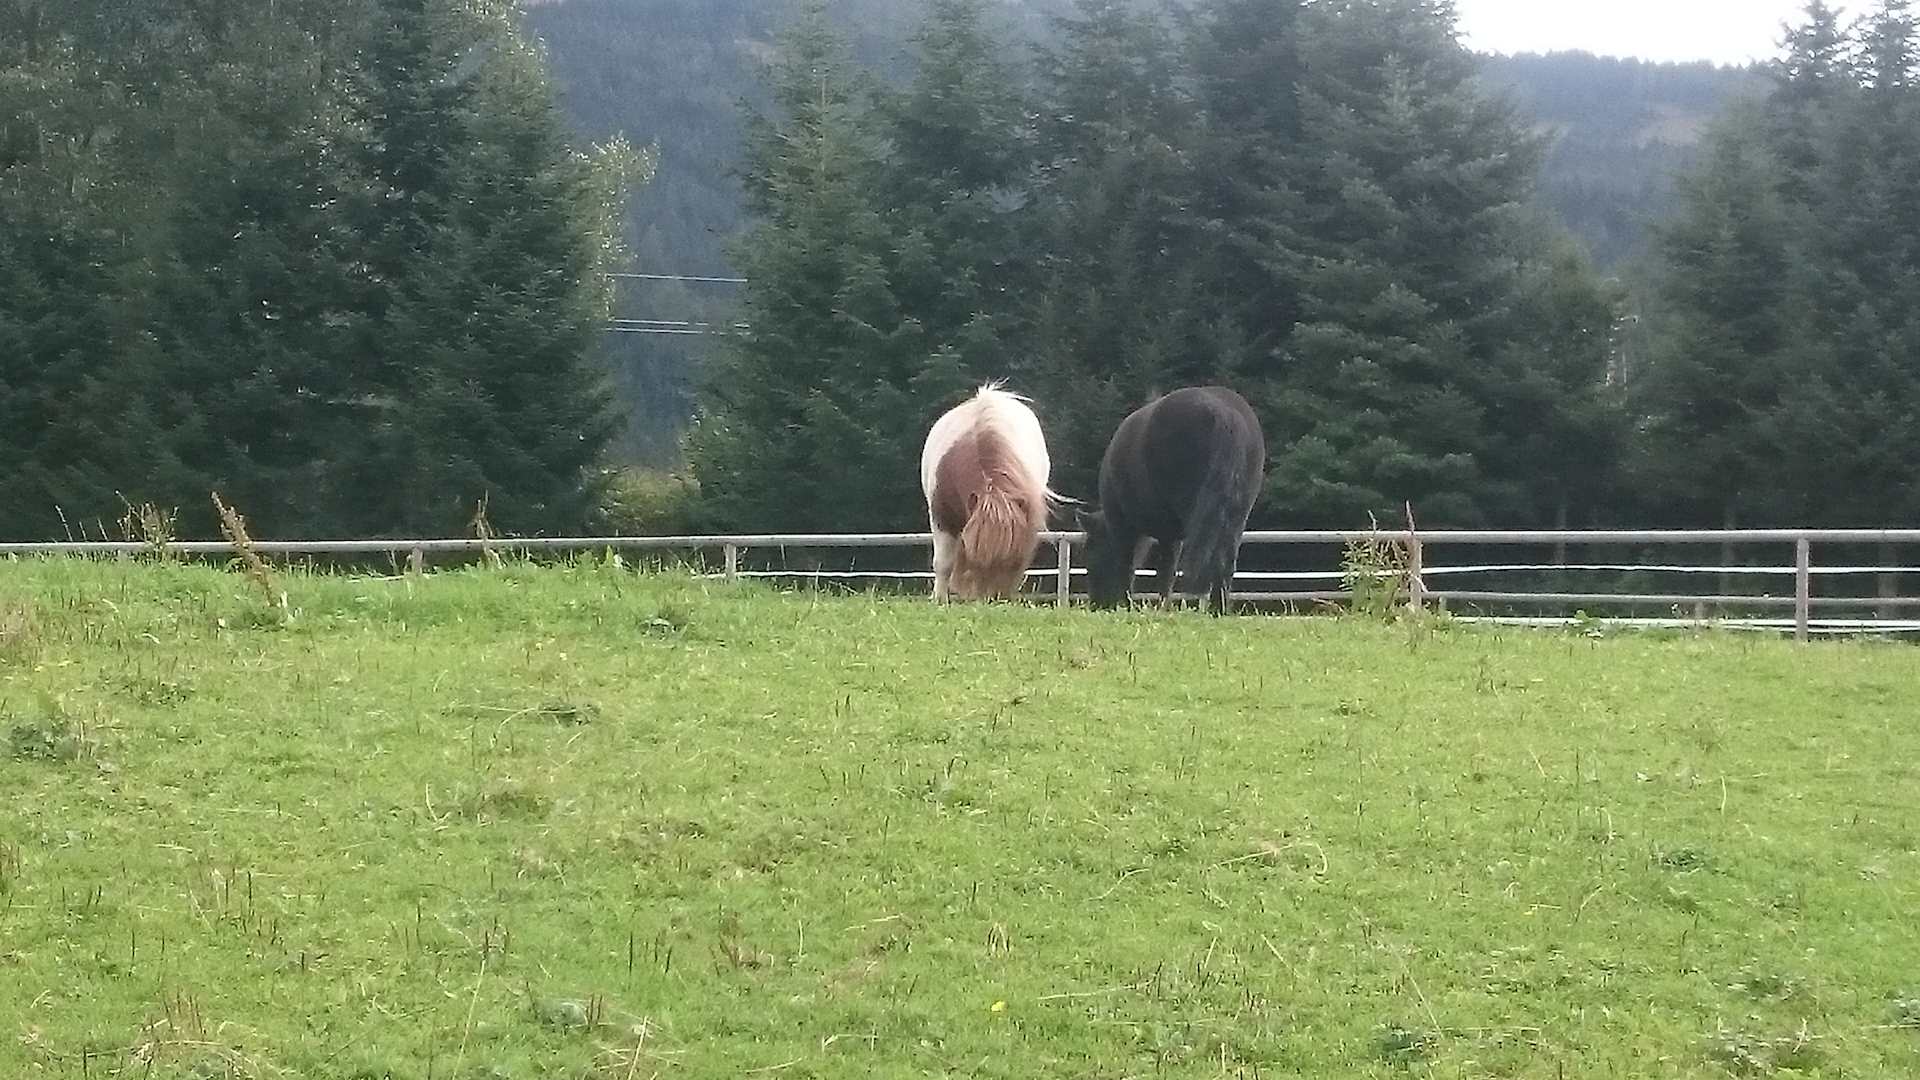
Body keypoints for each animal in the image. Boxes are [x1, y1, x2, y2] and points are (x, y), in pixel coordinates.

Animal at [920, 383, 1058, 602]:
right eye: (979, 558)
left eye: (1009, 559)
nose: (992, 599)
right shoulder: (941, 518)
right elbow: (943, 564)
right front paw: (939, 600)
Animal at [1077, 386, 1265, 615]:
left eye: (1090, 555)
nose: (1096, 604)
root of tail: (1225, 414)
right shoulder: (1171, 535)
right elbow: (1167, 572)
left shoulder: (1123, 526)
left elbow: (1130, 565)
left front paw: (1128, 604)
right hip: (1237, 516)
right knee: (1226, 562)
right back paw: (1218, 609)